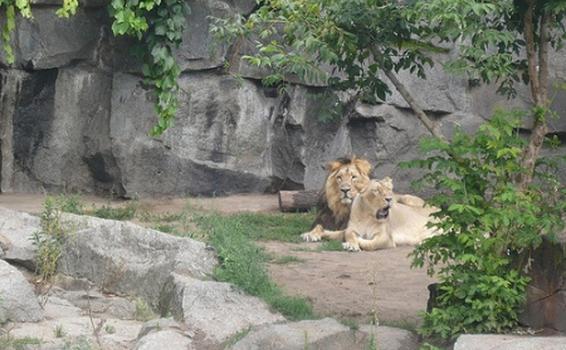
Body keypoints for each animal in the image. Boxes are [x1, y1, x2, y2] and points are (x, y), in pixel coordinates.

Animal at [302, 178, 440, 252]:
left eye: (389, 190)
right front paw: (311, 234)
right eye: (376, 191)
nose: (389, 199)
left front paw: (351, 244)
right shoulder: (351, 228)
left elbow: (370, 244)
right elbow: (343, 233)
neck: (367, 216)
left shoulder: (386, 238)